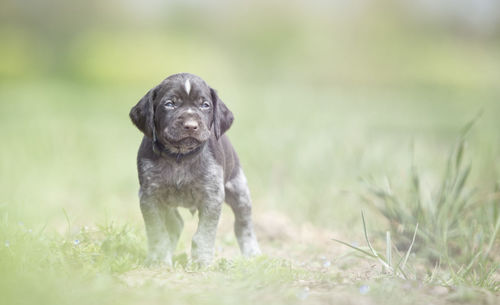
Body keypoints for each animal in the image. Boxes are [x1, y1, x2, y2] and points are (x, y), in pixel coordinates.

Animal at [129, 73, 262, 264]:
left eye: (205, 105)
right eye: (169, 104)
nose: (191, 125)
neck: (179, 157)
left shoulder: (212, 196)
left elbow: (204, 235)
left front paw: (202, 261)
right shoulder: (149, 196)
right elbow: (157, 232)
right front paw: (159, 260)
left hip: (239, 189)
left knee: (243, 224)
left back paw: (252, 252)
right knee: (176, 223)